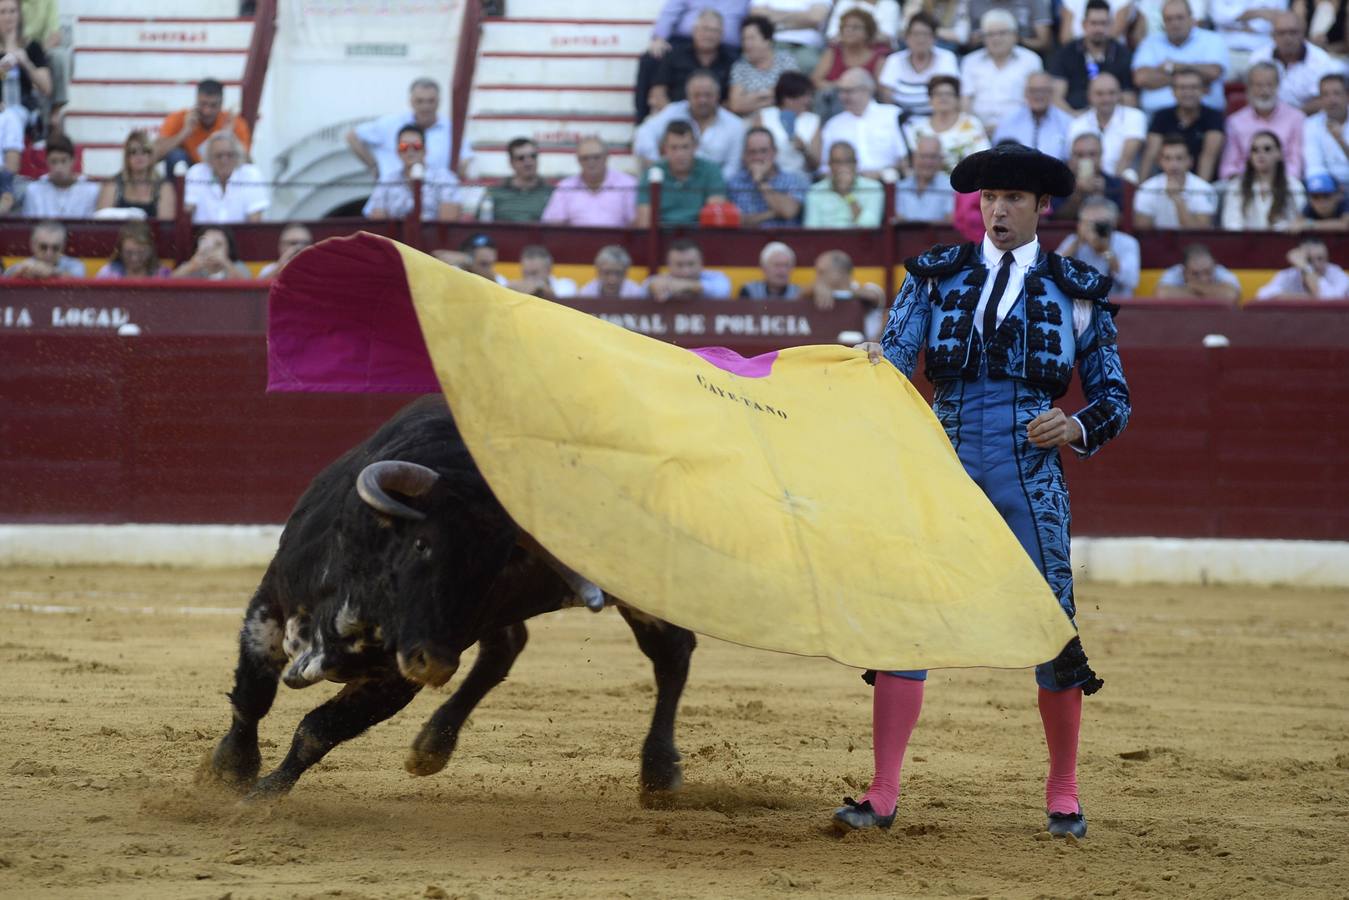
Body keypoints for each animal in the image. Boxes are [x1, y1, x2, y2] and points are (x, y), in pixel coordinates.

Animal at [207, 396, 706, 798]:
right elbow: (252, 697)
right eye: (421, 544)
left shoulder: (396, 675)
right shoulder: (271, 601)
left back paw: (659, 772)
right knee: (505, 649)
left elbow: (318, 730)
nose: (437, 664)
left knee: (672, 656)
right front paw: (227, 772)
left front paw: (261, 795)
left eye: (495, 565)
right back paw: (432, 747)